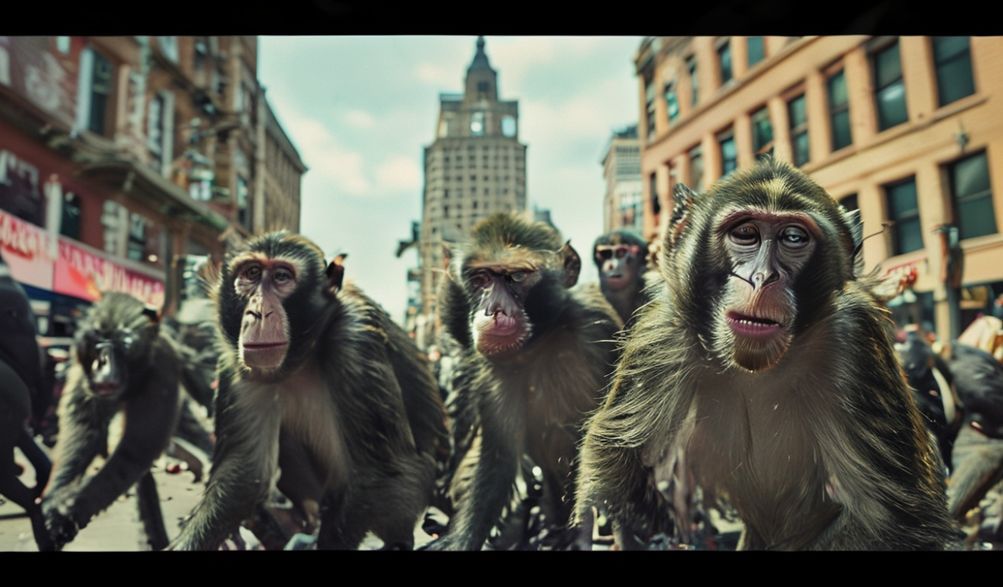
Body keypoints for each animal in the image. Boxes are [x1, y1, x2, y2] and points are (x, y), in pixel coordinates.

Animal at [41, 292, 190, 551]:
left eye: (124, 345)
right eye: (98, 343)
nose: (103, 363)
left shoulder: (160, 377)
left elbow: (136, 451)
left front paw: (72, 508)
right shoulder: (83, 375)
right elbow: (85, 429)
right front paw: (55, 499)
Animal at [169, 231, 448, 550]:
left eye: (282, 277)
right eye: (251, 274)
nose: (258, 312)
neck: (303, 353)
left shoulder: (355, 339)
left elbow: (381, 471)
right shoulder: (235, 361)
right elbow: (243, 472)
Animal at [428, 212, 622, 550]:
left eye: (517, 277)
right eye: (481, 279)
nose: (496, 309)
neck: (540, 340)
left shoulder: (595, 330)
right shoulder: (495, 373)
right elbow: (500, 457)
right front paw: (461, 538)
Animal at [576, 159, 957, 550]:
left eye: (794, 238)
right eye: (746, 233)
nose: (762, 277)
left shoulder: (855, 338)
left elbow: (893, 515)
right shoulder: (663, 332)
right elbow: (619, 459)